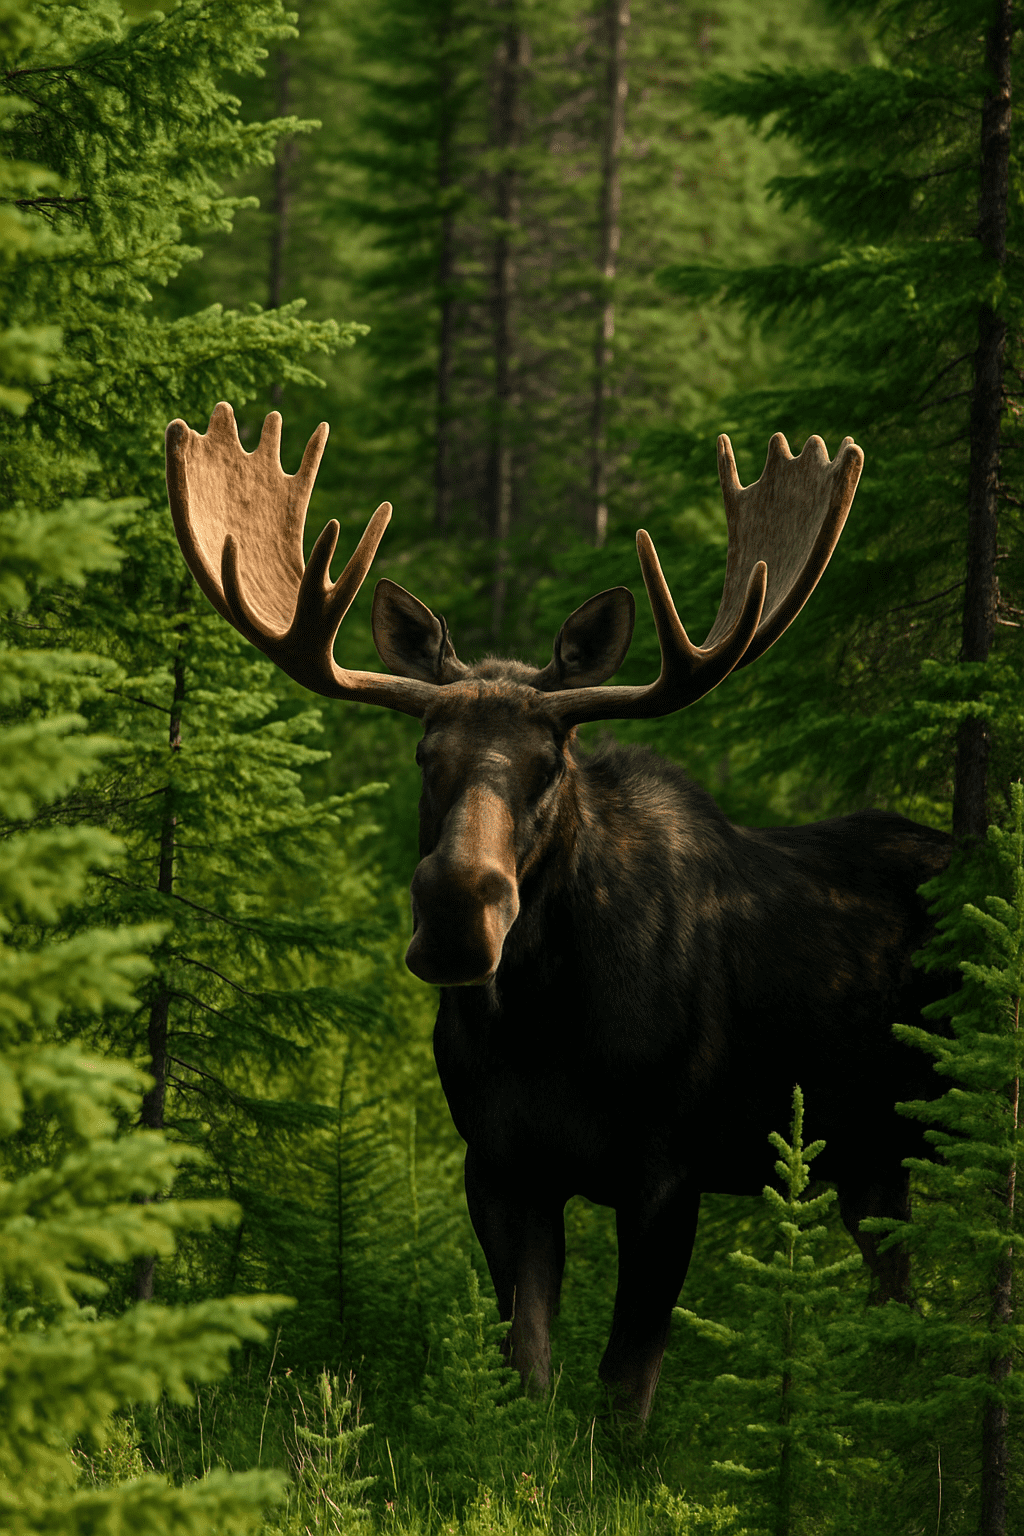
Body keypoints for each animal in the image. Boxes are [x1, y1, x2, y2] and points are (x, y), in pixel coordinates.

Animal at [166, 402, 952, 1421]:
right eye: (425, 755)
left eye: (553, 761)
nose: (456, 913)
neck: (548, 1028)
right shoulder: (501, 1165)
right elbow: (529, 1371)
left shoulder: (670, 1171)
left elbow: (624, 1391)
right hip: (872, 1160)